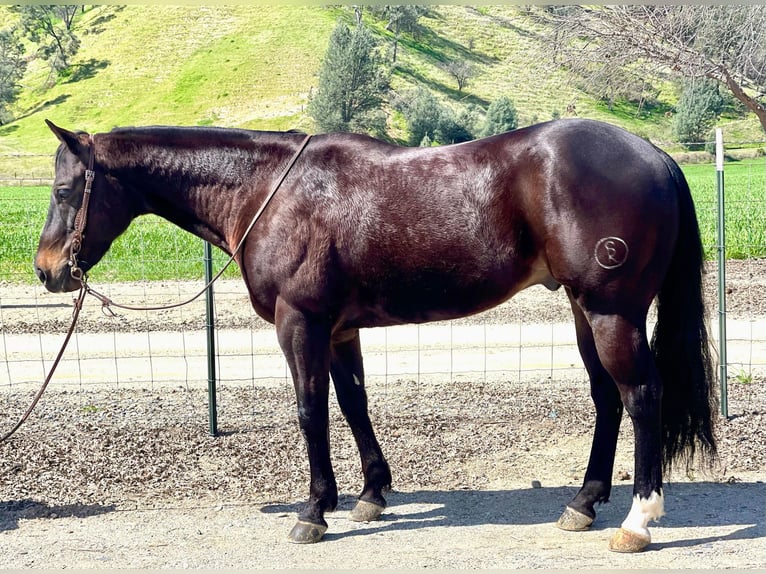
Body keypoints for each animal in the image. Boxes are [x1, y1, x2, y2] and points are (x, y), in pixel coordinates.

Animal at [34, 117, 720, 552]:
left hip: (612, 314)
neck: (269, 192)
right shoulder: (340, 331)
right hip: (584, 311)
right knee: (608, 399)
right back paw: (583, 502)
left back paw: (638, 520)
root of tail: (654, 154)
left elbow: (311, 411)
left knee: (642, 397)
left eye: (65, 189)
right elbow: (353, 404)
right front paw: (370, 494)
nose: (46, 270)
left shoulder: (301, 324)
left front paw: (314, 511)